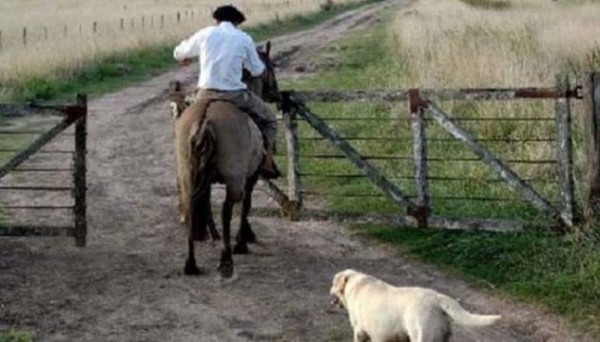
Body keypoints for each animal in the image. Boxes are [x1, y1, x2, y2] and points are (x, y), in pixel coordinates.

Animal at [170, 42, 280, 278]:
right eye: (270, 67)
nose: (275, 92)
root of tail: (205, 119)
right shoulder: (250, 176)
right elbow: (246, 204)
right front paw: (243, 240)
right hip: (233, 179)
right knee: (226, 209)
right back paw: (227, 257)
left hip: (187, 175)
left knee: (191, 207)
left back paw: (191, 263)